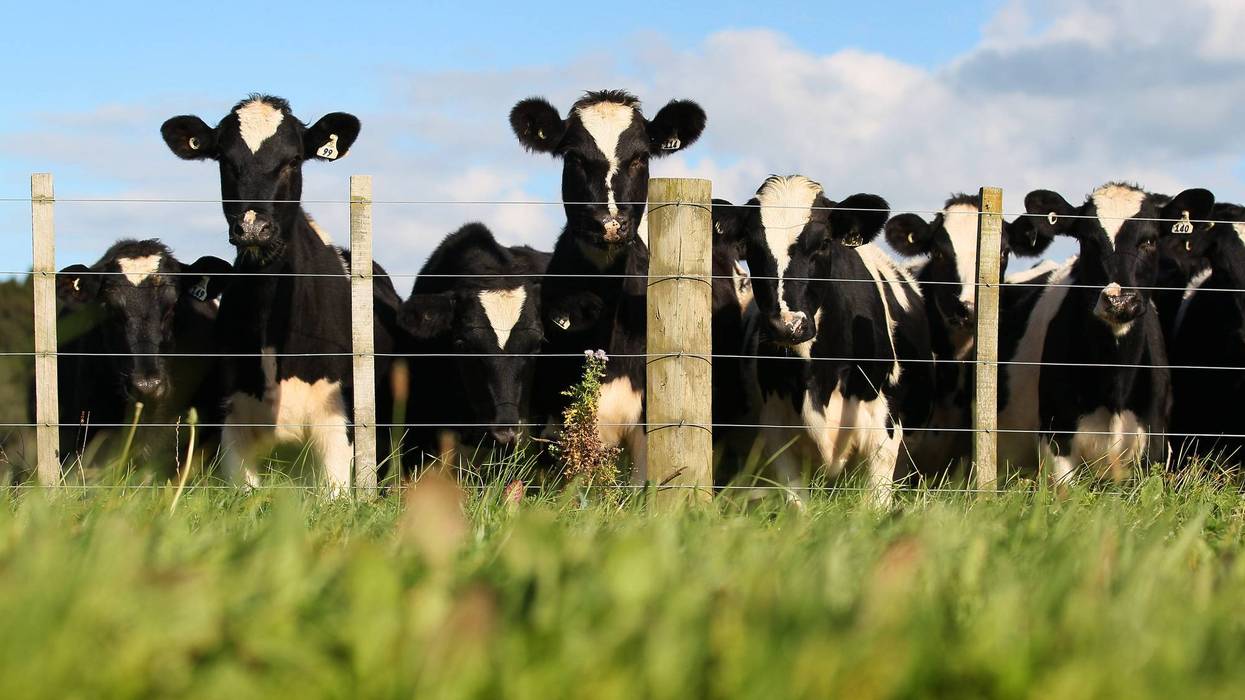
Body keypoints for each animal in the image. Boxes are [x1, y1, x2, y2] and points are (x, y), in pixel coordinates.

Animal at [998, 182, 1215, 483]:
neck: (1114, 383)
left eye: (1149, 240)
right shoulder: (1056, 444)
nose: (1119, 300)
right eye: (1088, 240)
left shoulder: (1153, 448)